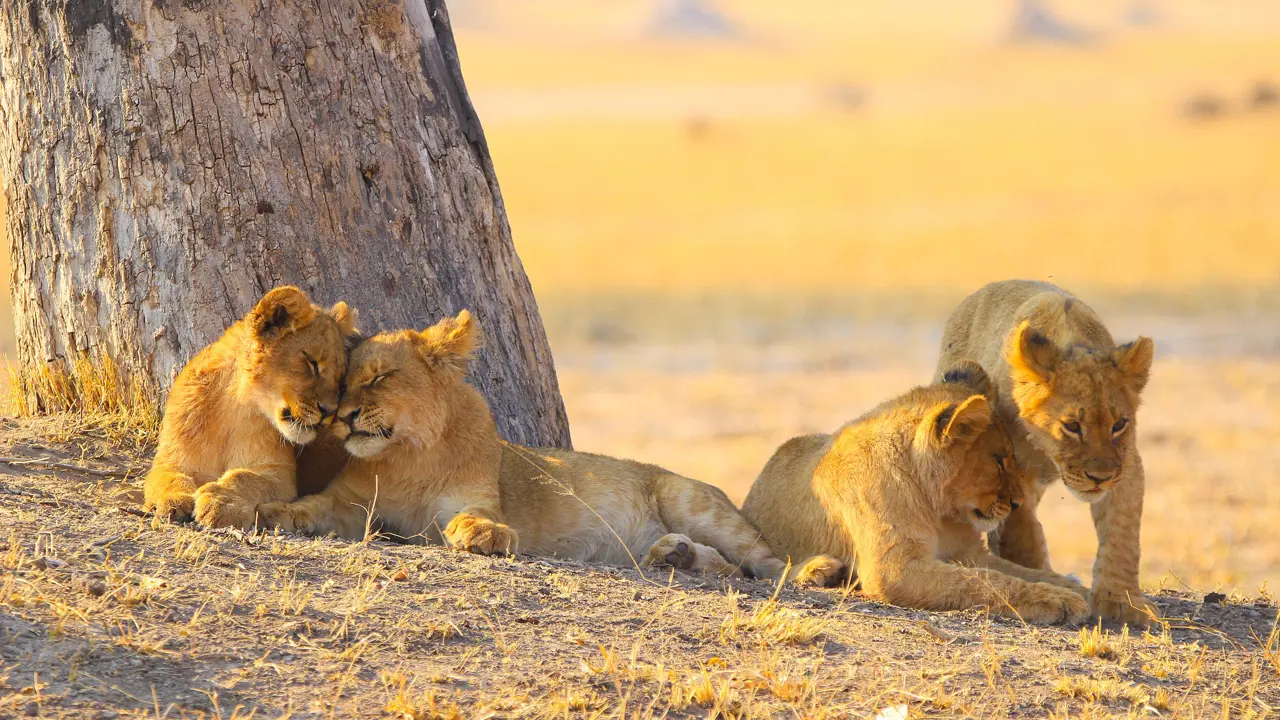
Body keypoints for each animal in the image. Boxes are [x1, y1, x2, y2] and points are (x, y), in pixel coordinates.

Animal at [143, 286, 359, 529]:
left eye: (340, 378)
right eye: (312, 363)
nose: (330, 412)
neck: (234, 406)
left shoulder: (278, 474)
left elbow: (244, 477)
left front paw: (221, 503)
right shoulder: (171, 460)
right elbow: (170, 478)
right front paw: (173, 502)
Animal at [256, 311, 789, 581]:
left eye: (380, 377)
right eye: (343, 382)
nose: (342, 417)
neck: (409, 454)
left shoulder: (472, 496)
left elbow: (476, 517)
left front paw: (485, 536)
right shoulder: (351, 505)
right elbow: (313, 505)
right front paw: (276, 513)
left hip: (690, 500)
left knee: (763, 561)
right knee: (726, 565)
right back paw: (675, 556)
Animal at [741, 363, 1089, 624]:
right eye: (999, 459)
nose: (1017, 504)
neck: (936, 508)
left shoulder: (970, 554)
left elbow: (1019, 573)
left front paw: (1079, 591)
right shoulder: (894, 569)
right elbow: (983, 581)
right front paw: (1060, 601)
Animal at [935, 279, 1156, 626]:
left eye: (1119, 424)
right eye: (1072, 426)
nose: (1100, 478)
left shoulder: (1127, 463)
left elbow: (1121, 533)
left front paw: (1121, 601)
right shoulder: (1008, 471)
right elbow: (1021, 535)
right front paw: (1046, 583)